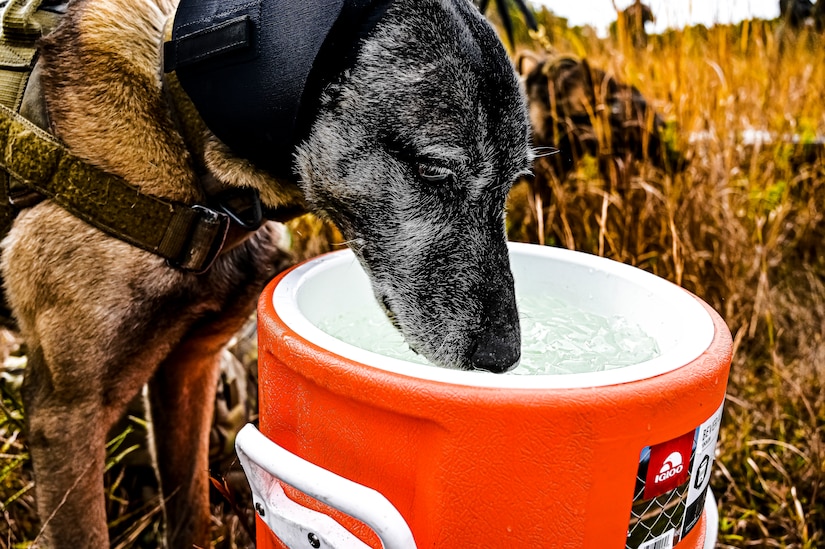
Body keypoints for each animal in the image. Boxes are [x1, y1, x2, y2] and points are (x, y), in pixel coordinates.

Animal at [1, 0, 536, 544]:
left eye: (513, 182)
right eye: (433, 170)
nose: (503, 357)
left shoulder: (189, 370)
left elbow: (191, 514)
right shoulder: (68, 414)